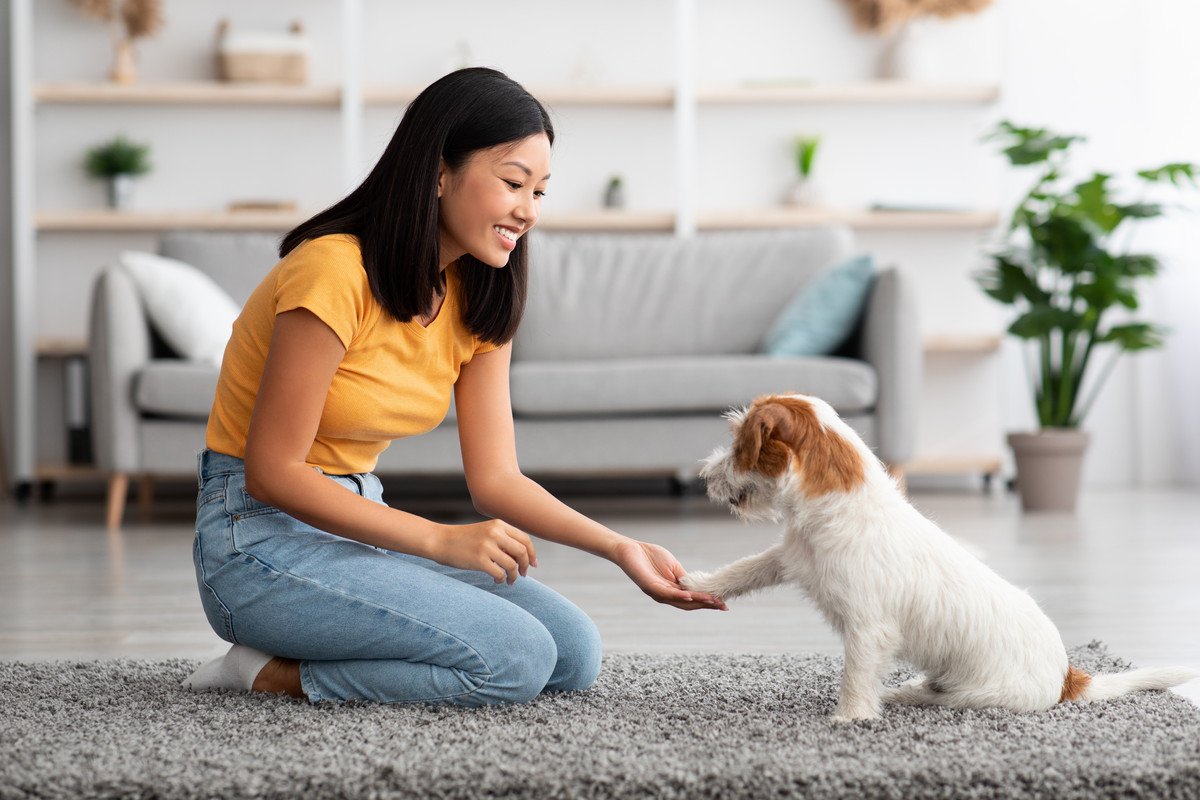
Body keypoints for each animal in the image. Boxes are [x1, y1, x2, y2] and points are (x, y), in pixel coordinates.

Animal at [681, 393, 1195, 724]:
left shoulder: (868, 629)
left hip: (977, 694)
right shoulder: (789, 557)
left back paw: (900, 693)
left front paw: (850, 719)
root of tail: (1070, 674)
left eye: (739, 444)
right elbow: (744, 569)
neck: (843, 502)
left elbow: (855, 675)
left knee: (938, 699)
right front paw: (697, 585)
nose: (703, 476)